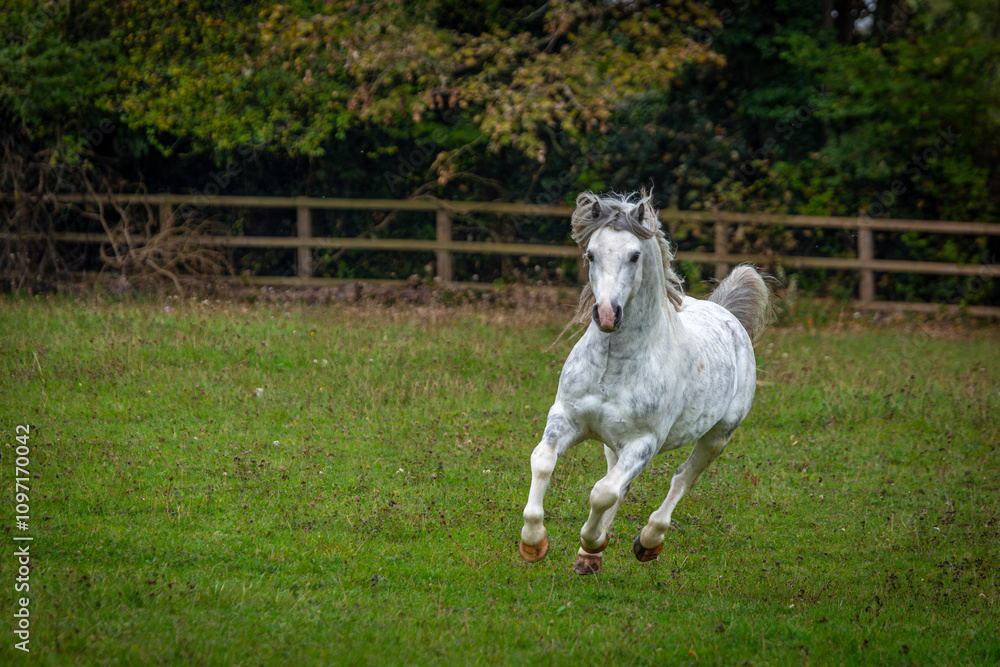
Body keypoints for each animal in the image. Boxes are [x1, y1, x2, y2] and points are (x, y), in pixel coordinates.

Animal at [518, 190, 772, 575]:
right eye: (590, 254)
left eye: (634, 255)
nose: (607, 314)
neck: (614, 364)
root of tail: (727, 315)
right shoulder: (565, 419)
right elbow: (543, 461)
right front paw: (535, 543)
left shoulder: (644, 443)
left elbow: (602, 492)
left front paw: (593, 540)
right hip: (613, 444)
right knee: (620, 482)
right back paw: (591, 557)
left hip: (717, 437)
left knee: (682, 479)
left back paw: (648, 542)